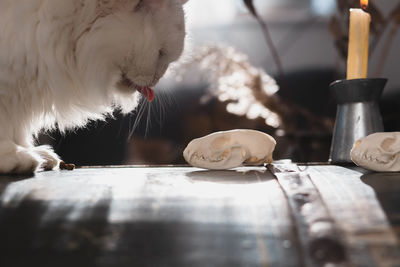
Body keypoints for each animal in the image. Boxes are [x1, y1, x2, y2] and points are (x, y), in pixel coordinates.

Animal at [0, 0, 189, 176]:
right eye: (161, 54)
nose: (158, 78)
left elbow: (19, 129)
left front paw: (36, 153)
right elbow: (7, 127)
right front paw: (15, 155)